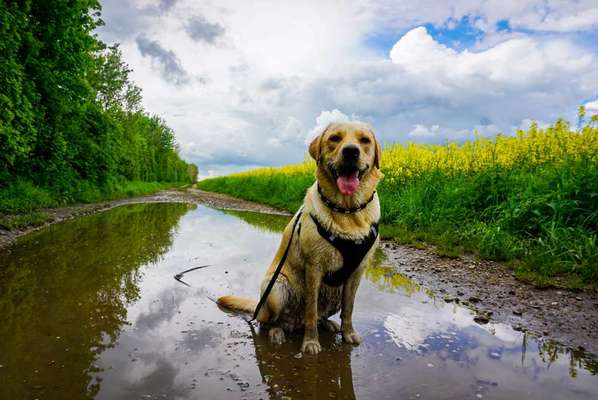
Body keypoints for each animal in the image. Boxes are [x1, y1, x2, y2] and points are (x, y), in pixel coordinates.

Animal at [218, 121, 382, 354]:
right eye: (334, 138)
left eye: (364, 140)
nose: (351, 151)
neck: (347, 211)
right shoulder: (314, 267)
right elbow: (311, 311)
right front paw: (311, 343)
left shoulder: (357, 271)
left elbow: (349, 309)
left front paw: (348, 334)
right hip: (275, 289)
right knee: (268, 322)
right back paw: (277, 332)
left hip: (334, 291)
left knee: (318, 316)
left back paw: (328, 324)